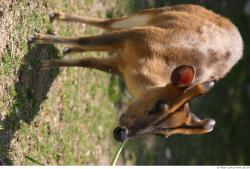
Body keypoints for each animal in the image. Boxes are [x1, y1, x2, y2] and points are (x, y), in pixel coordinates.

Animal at [28, 3, 243, 141]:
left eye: (162, 133)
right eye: (159, 104)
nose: (122, 134)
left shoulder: (119, 64)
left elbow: (87, 61)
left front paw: (46, 63)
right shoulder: (136, 36)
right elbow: (86, 40)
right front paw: (37, 38)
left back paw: (66, 46)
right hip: (154, 13)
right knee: (108, 23)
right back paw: (55, 16)